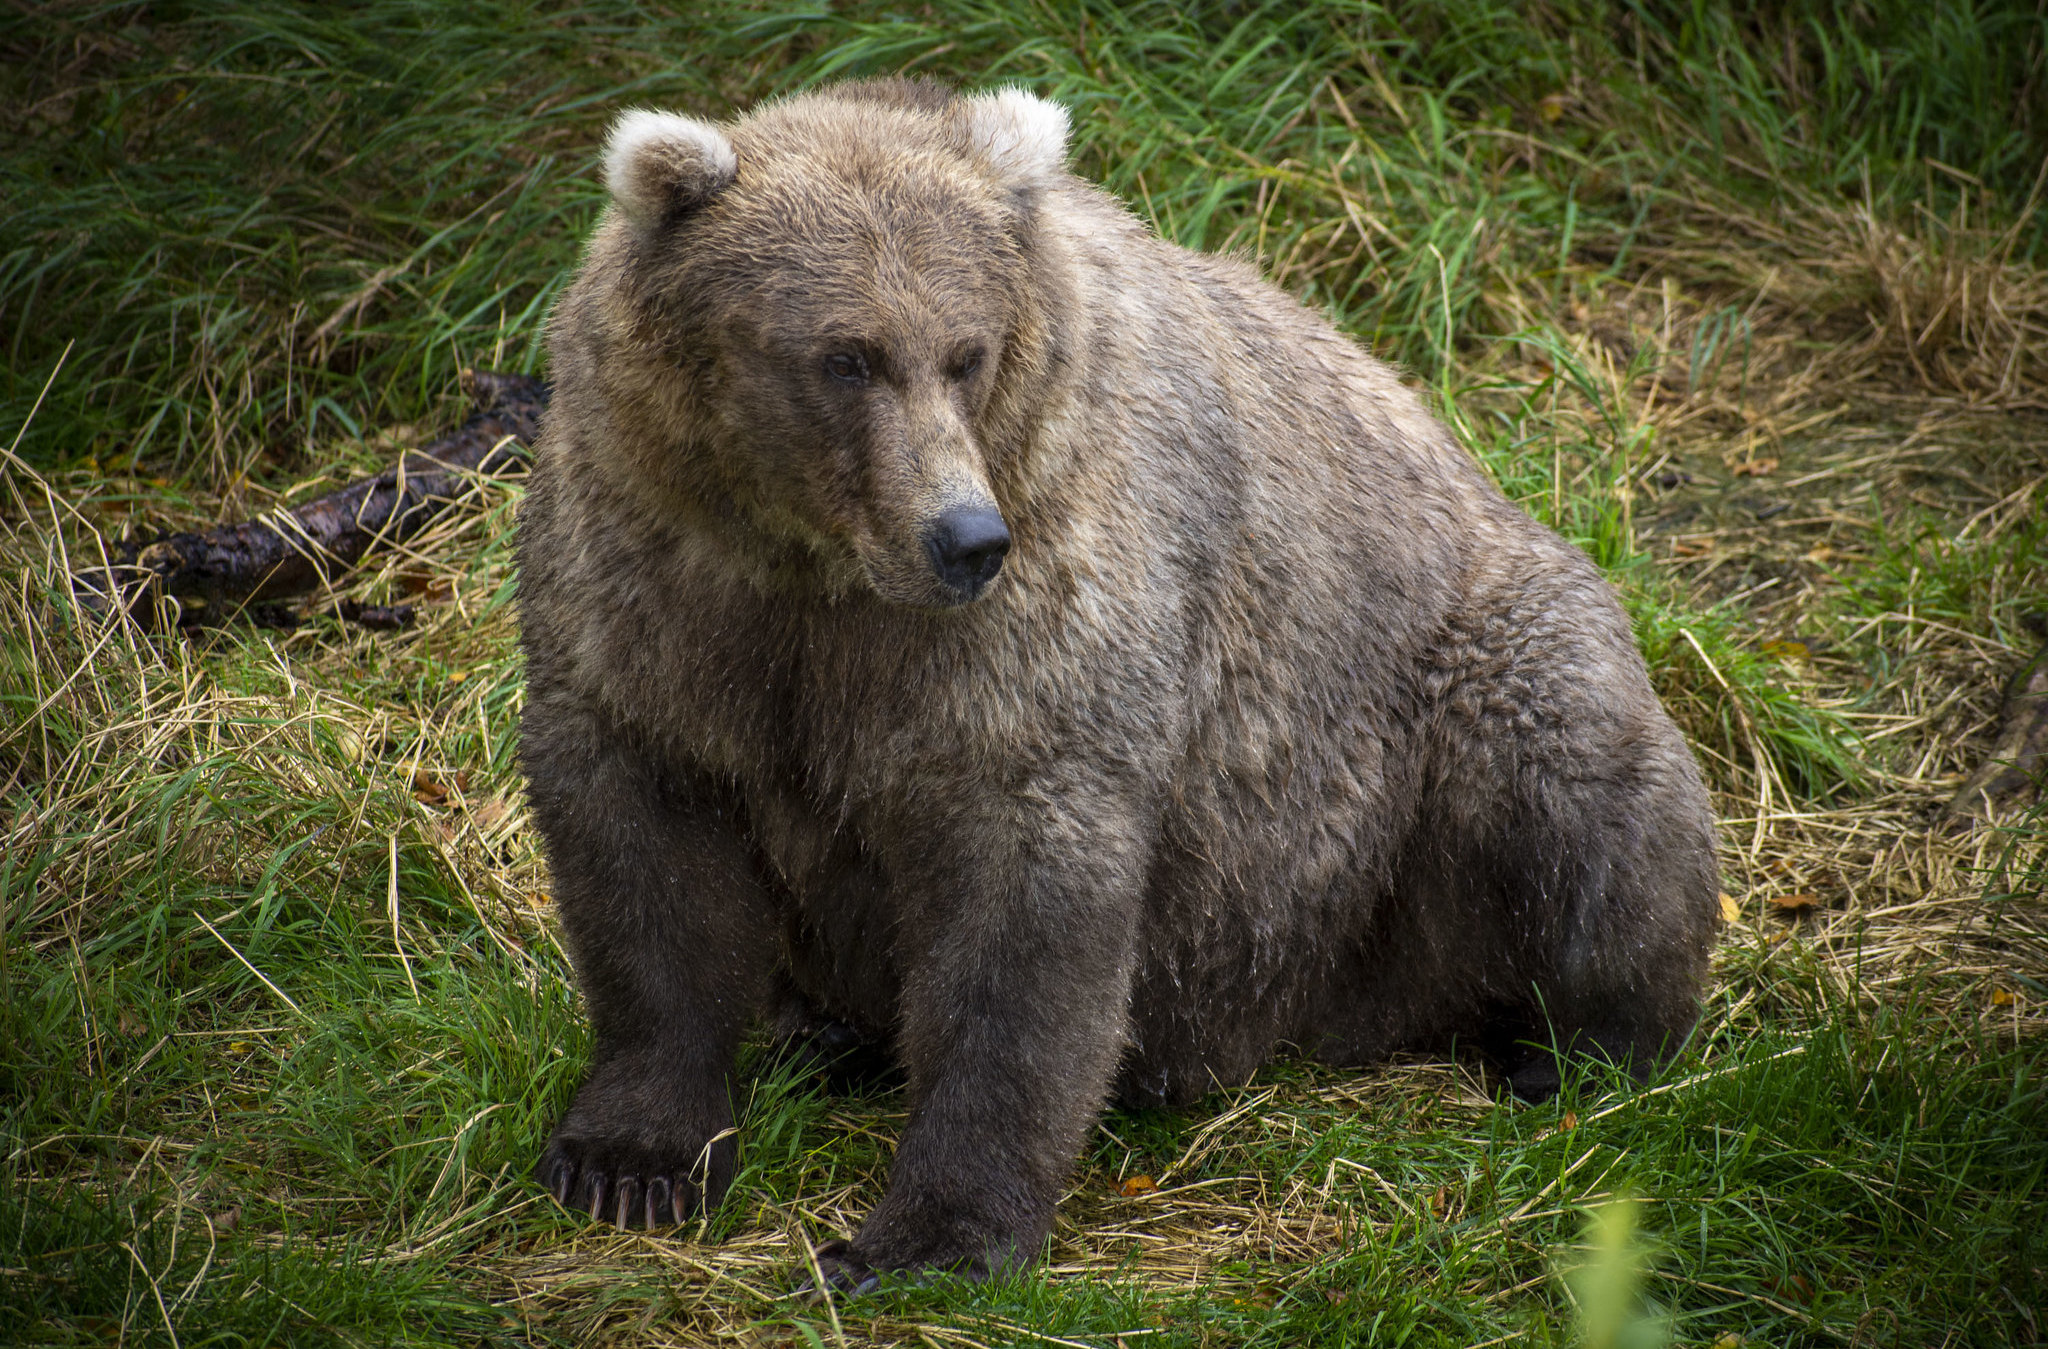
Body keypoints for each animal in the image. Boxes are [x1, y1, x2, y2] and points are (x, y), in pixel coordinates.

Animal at [515, 76, 1719, 1288]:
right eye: (843, 355)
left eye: (965, 351)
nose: (963, 538)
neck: (816, 568)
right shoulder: (660, 594)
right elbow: (649, 864)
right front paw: (630, 1159)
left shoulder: (1036, 615)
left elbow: (1023, 918)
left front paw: (926, 1235)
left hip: (1454, 696)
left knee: (1575, 801)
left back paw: (1576, 1049)